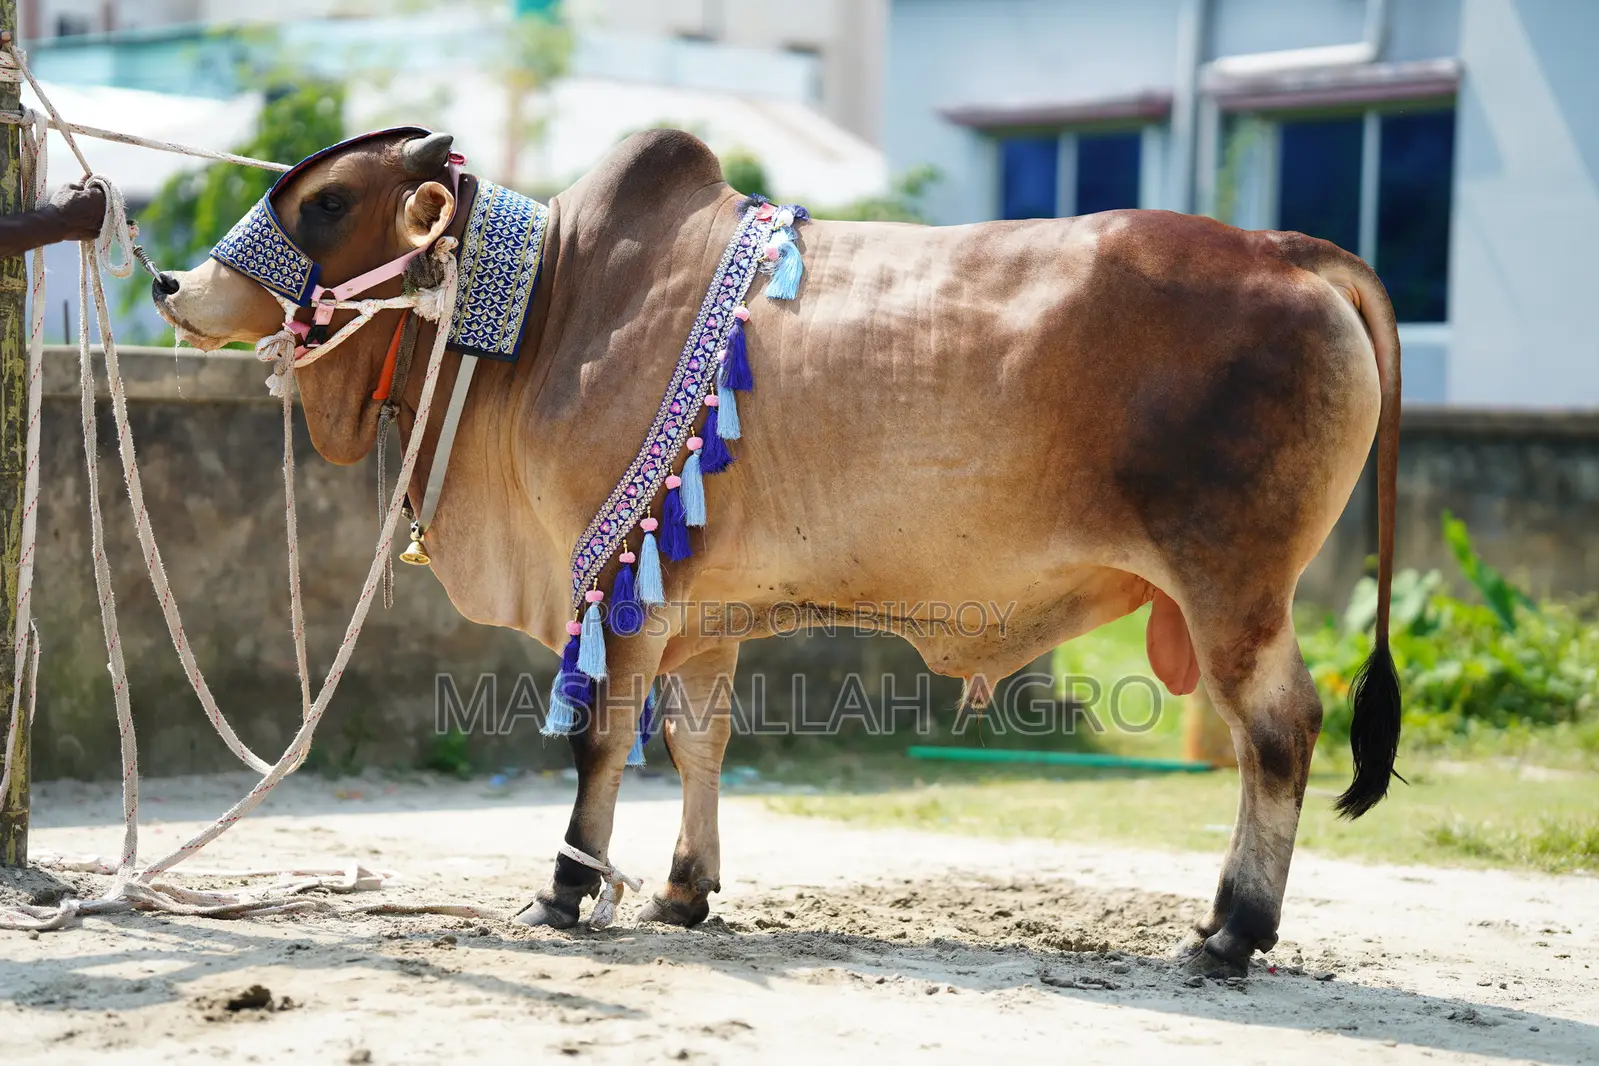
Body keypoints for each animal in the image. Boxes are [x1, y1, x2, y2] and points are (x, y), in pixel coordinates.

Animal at [151, 127, 1402, 973]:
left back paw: (1233, 930)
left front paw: (564, 892)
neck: (549, 304)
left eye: (325, 202)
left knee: (1280, 731)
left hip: (1234, 586)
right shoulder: (693, 599)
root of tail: (1292, 252)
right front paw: (682, 889)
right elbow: (698, 740)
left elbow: (600, 741)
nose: (167, 281)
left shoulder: (613, 583)